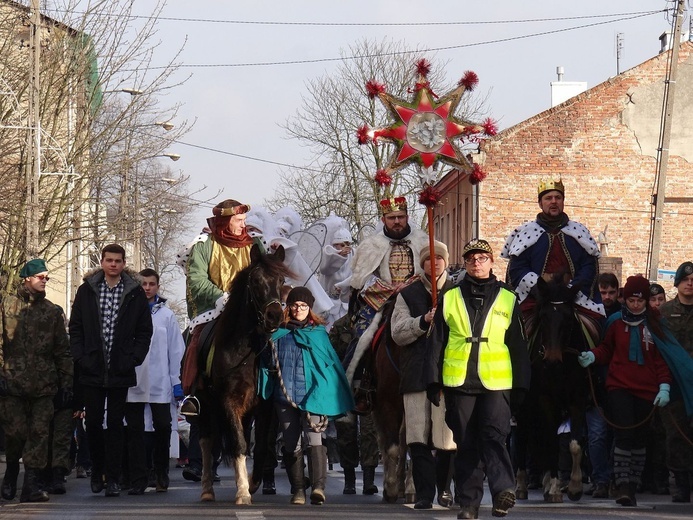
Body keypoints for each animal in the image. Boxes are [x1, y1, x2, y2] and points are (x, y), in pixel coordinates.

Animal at [195, 244, 290, 504]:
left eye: (281, 280)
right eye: (256, 281)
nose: (274, 316)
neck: (246, 352)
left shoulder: (263, 405)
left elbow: (260, 446)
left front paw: (252, 483)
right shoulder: (228, 401)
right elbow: (238, 443)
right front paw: (243, 492)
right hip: (204, 406)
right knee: (206, 442)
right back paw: (207, 489)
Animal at [512, 276, 596, 504]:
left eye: (568, 318)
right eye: (544, 316)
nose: (550, 360)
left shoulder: (577, 400)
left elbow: (574, 444)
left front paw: (574, 487)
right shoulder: (546, 400)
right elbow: (550, 442)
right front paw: (557, 489)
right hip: (524, 407)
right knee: (522, 438)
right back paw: (521, 486)